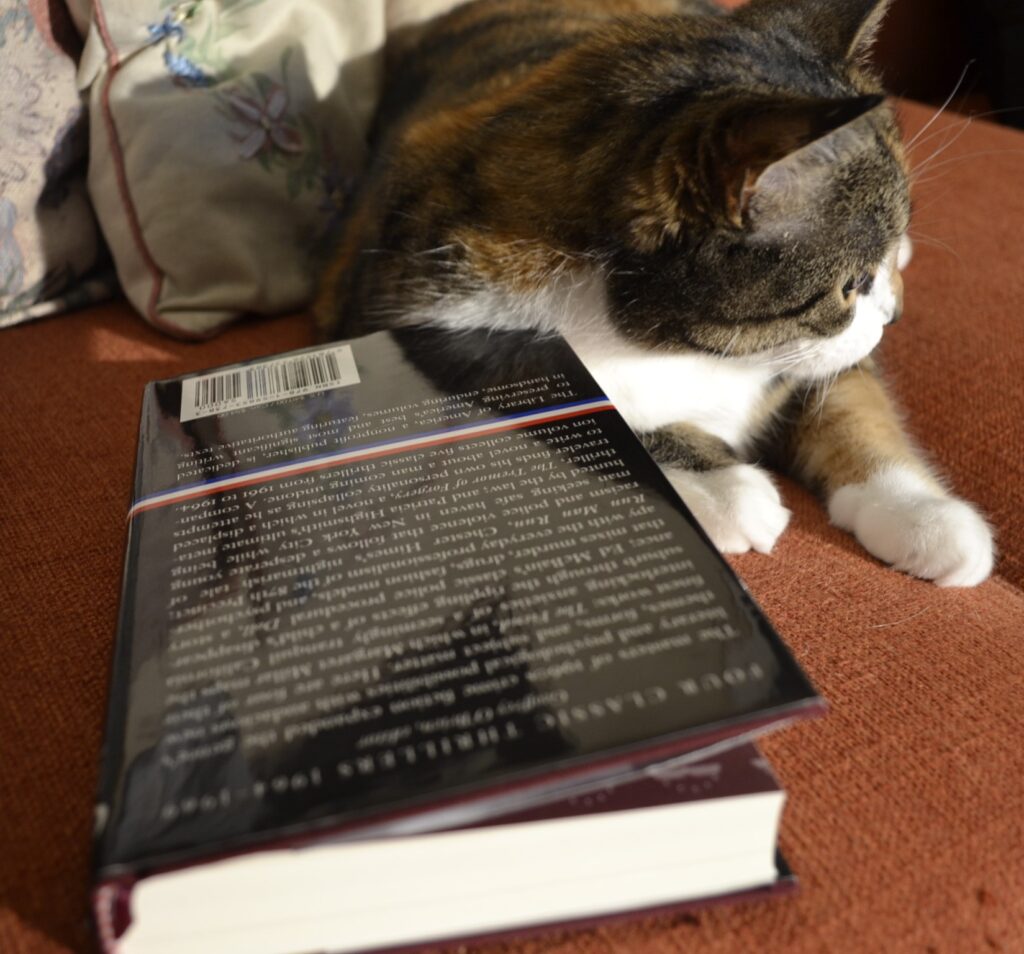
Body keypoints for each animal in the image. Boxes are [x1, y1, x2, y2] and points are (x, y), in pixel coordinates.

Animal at [315, 0, 995, 589]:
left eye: (878, 262)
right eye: (850, 285)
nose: (895, 314)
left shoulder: (820, 362)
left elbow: (855, 405)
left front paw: (923, 516)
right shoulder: (414, 305)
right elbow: (547, 389)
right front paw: (723, 487)